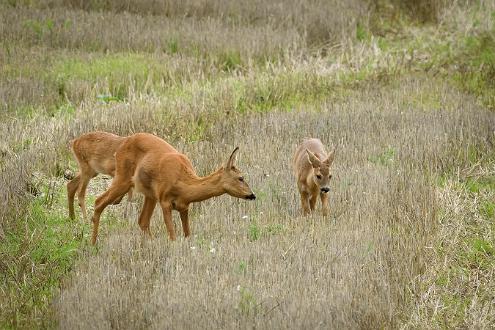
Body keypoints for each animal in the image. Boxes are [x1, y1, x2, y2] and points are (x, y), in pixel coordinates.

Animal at [89, 133, 258, 245]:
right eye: (241, 178)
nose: (252, 195)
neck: (183, 185)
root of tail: (122, 143)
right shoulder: (165, 201)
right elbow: (172, 235)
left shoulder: (184, 206)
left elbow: (187, 234)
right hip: (123, 178)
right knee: (99, 201)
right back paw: (93, 244)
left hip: (150, 194)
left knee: (142, 220)